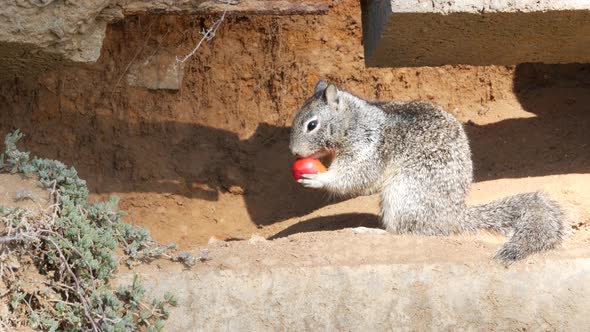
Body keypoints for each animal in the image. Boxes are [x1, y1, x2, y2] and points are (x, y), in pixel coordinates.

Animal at [292, 81, 568, 262]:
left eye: (312, 125)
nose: (294, 153)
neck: (354, 122)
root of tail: (451, 216)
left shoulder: (368, 148)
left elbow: (355, 177)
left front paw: (318, 178)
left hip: (402, 194)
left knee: (405, 232)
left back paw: (371, 231)